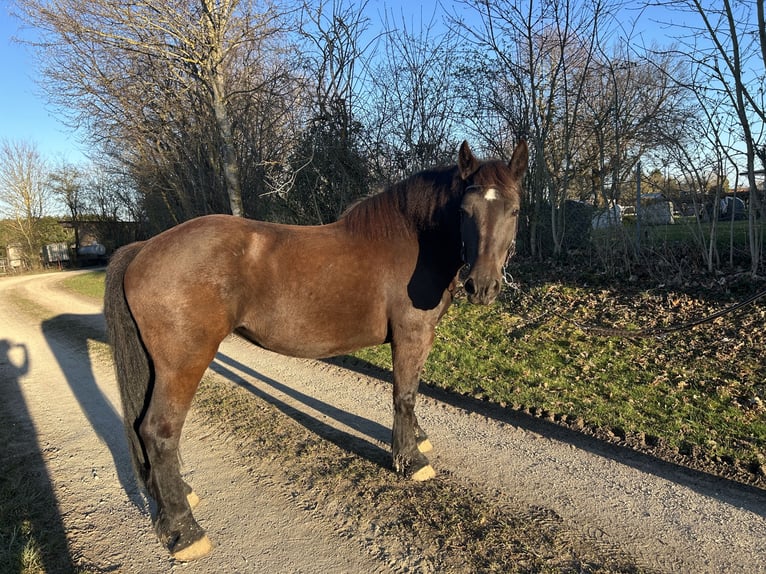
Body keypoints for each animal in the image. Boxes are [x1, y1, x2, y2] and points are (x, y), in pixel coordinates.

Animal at [103, 140, 528, 561]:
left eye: (514, 209)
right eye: (465, 210)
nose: (482, 286)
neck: (413, 240)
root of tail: (144, 248)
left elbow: (411, 393)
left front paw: (418, 439)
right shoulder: (412, 335)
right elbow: (404, 395)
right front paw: (412, 461)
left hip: (158, 367)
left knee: (145, 427)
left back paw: (178, 501)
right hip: (184, 363)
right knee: (159, 430)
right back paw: (185, 531)